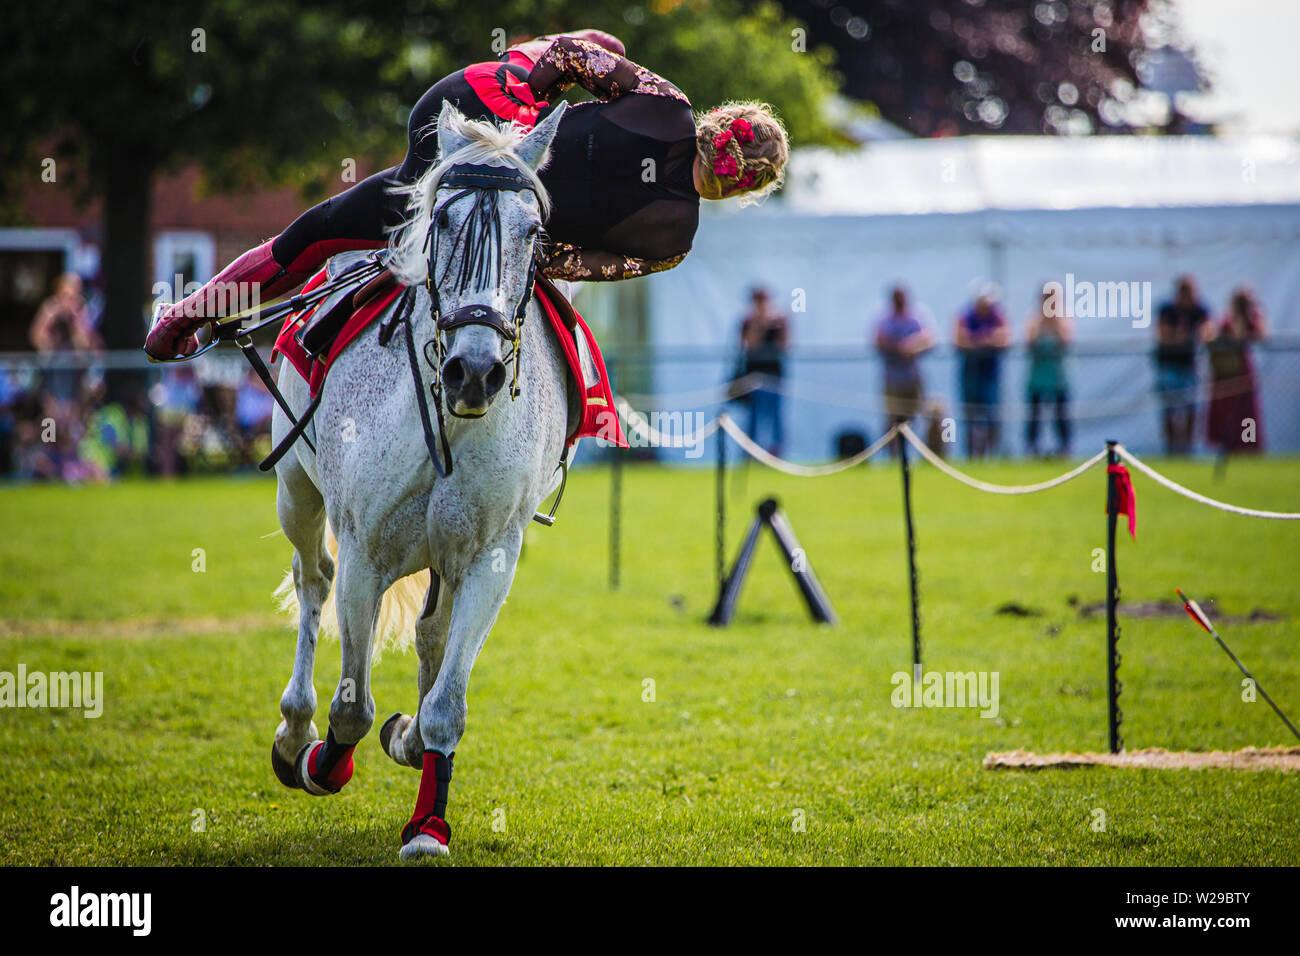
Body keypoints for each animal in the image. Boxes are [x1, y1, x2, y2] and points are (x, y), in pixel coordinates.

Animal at [270, 100, 579, 863]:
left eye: (534, 233)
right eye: (441, 222)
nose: (477, 371)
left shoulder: (490, 558)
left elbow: (445, 705)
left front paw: (427, 819)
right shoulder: (364, 554)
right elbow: (352, 704)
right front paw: (321, 764)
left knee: (432, 638)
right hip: (296, 492)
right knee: (311, 582)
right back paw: (294, 731)